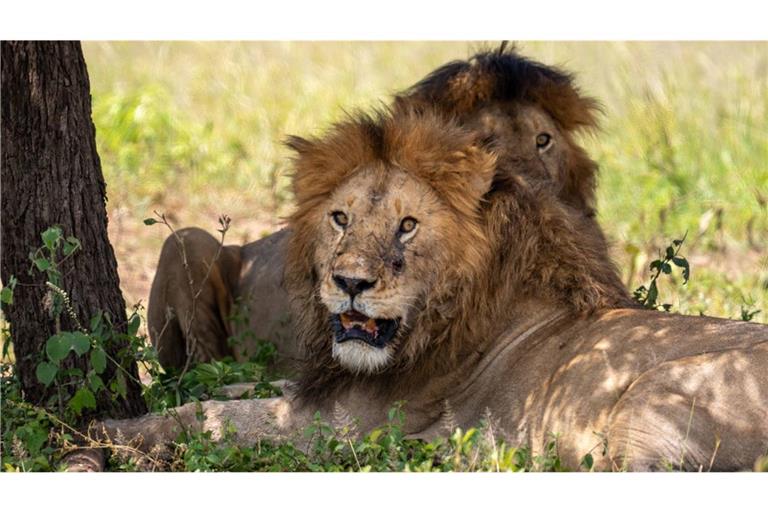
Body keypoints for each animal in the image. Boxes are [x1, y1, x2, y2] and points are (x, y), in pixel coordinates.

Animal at [114, 49, 768, 471]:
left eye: (408, 226)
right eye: (340, 218)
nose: (349, 282)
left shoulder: (343, 426)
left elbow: (209, 417)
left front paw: (112, 432)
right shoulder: (317, 386)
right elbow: (237, 387)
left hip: (651, 398)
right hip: (184, 240)